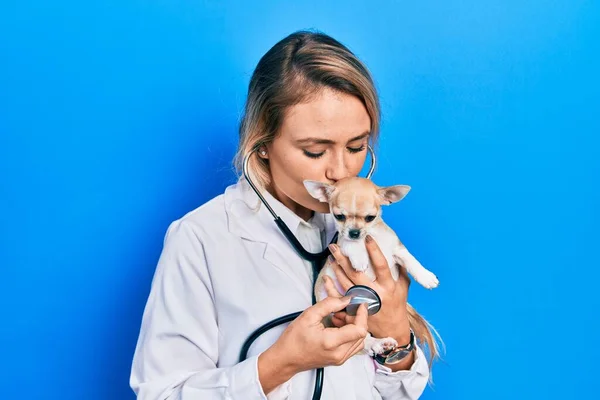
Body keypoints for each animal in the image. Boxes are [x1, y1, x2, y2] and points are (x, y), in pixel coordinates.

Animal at [304, 177, 436, 356]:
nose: (354, 232)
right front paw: (360, 259)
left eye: (370, 218)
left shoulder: (397, 249)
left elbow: (410, 260)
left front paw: (426, 276)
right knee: (363, 340)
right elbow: (351, 245)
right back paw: (378, 344)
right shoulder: (342, 244)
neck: (371, 235)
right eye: (339, 216)